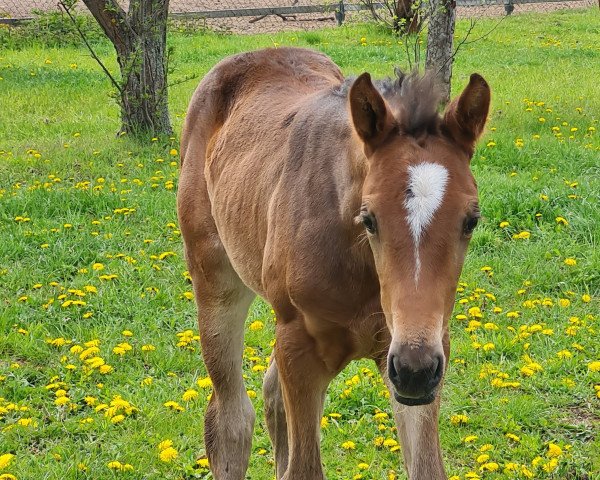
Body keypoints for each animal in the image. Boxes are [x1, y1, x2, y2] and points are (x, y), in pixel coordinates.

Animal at [177, 46, 488, 480]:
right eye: (369, 218)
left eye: (471, 220)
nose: (415, 369)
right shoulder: (299, 346)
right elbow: (304, 468)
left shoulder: (424, 348)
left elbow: (427, 468)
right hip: (215, 282)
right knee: (230, 419)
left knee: (272, 395)